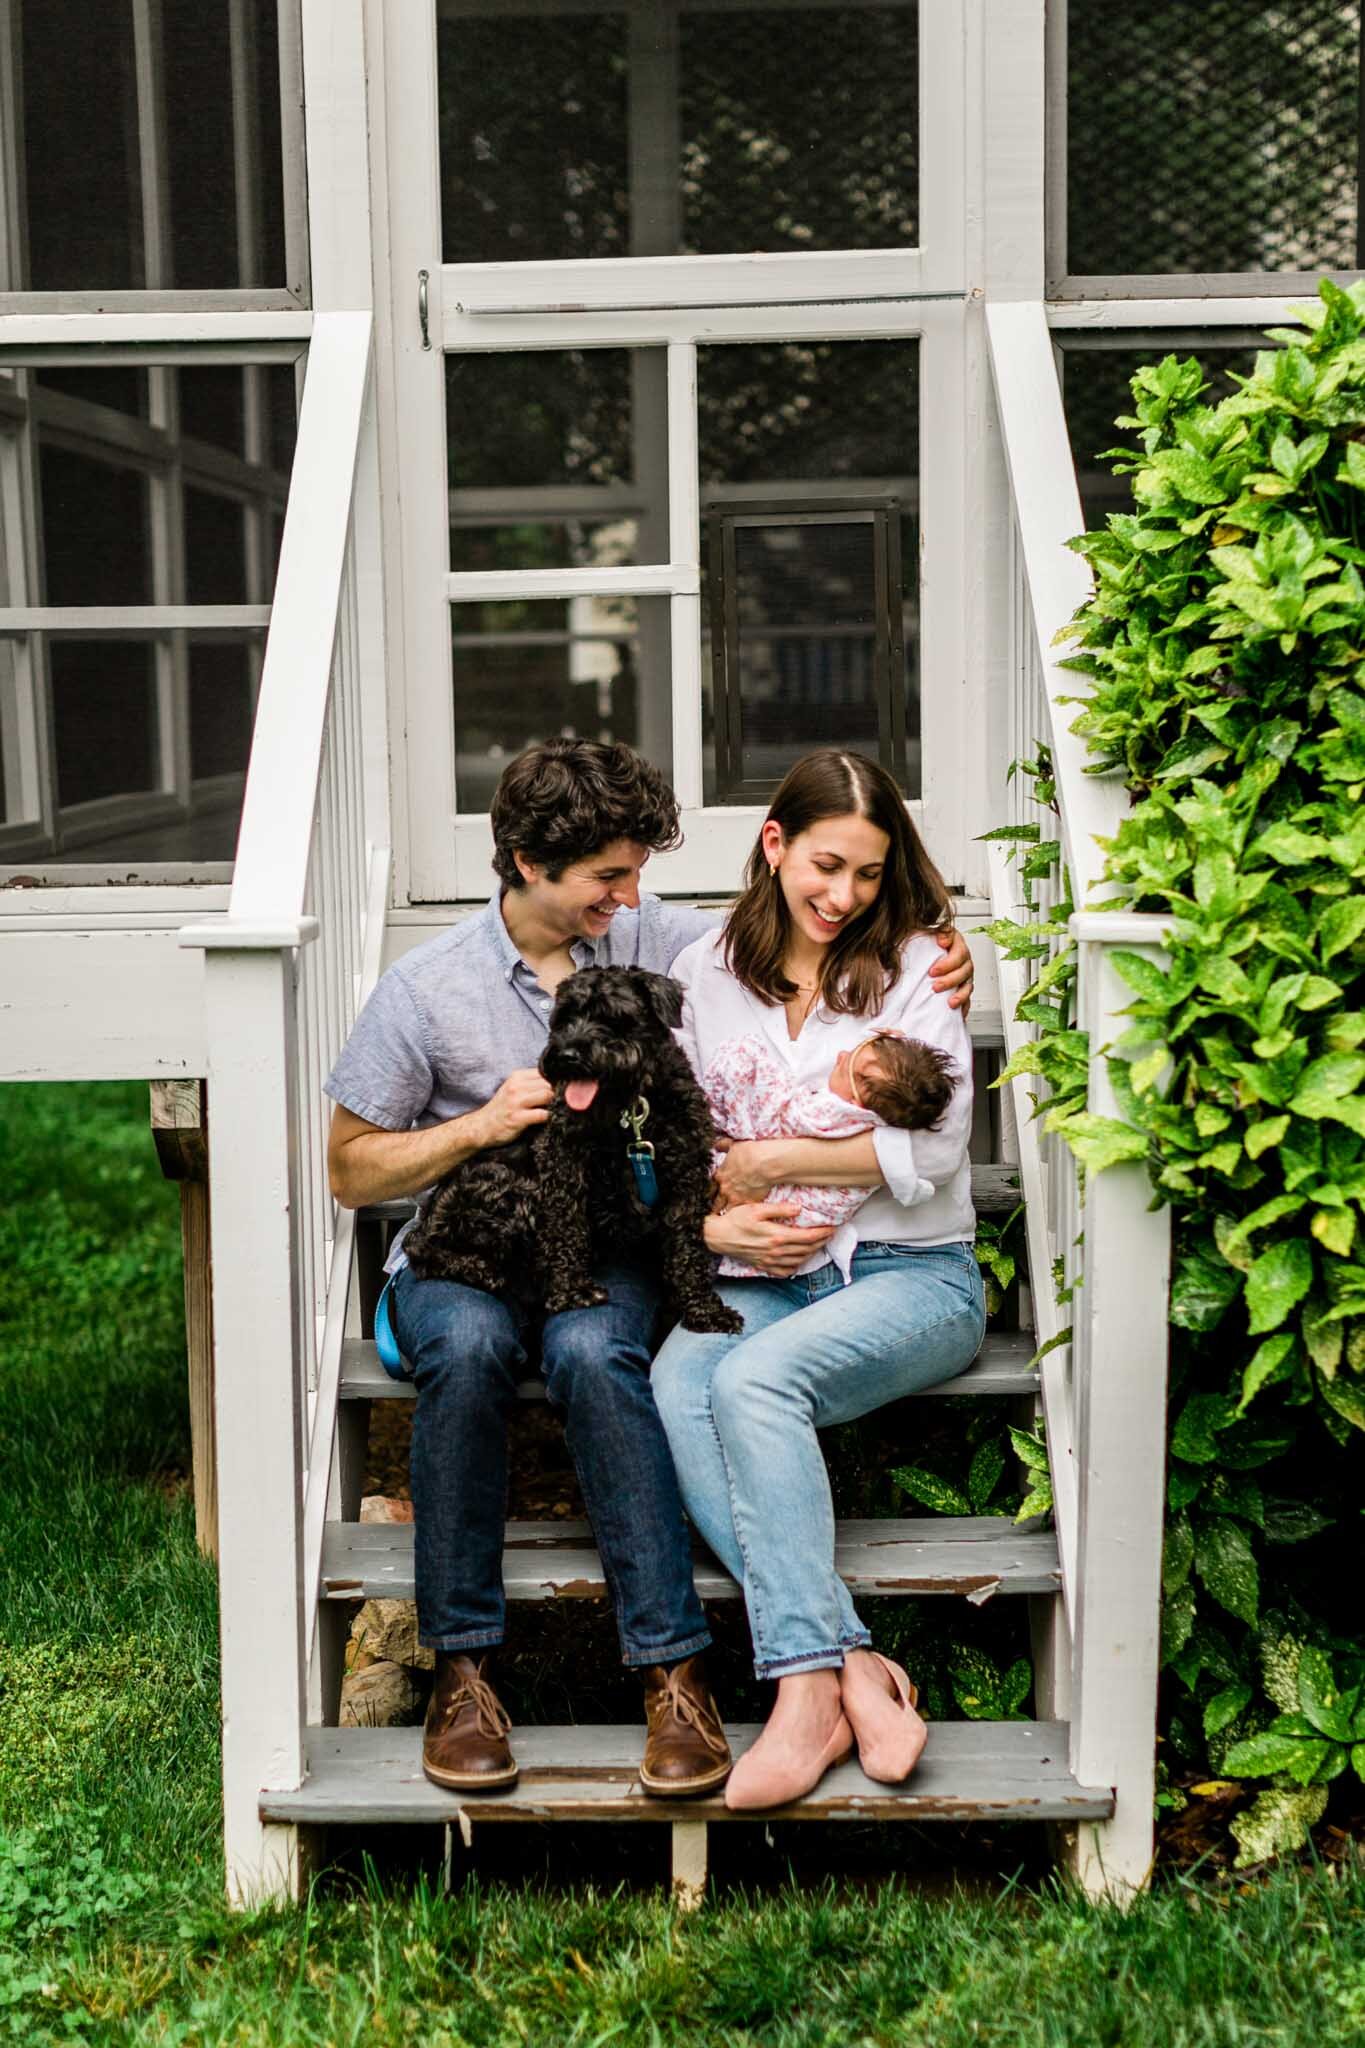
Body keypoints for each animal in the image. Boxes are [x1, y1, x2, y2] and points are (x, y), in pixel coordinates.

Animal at [405, 966, 749, 1335]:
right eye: (565, 1018)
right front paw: (573, 1292)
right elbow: (565, 1227)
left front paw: (703, 1309)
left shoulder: (686, 1178)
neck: (632, 1110)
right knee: (422, 1250)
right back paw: (481, 1270)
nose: (567, 1055)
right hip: (506, 1183)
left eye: (612, 1016)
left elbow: (689, 1248)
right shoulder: (562, 1168)